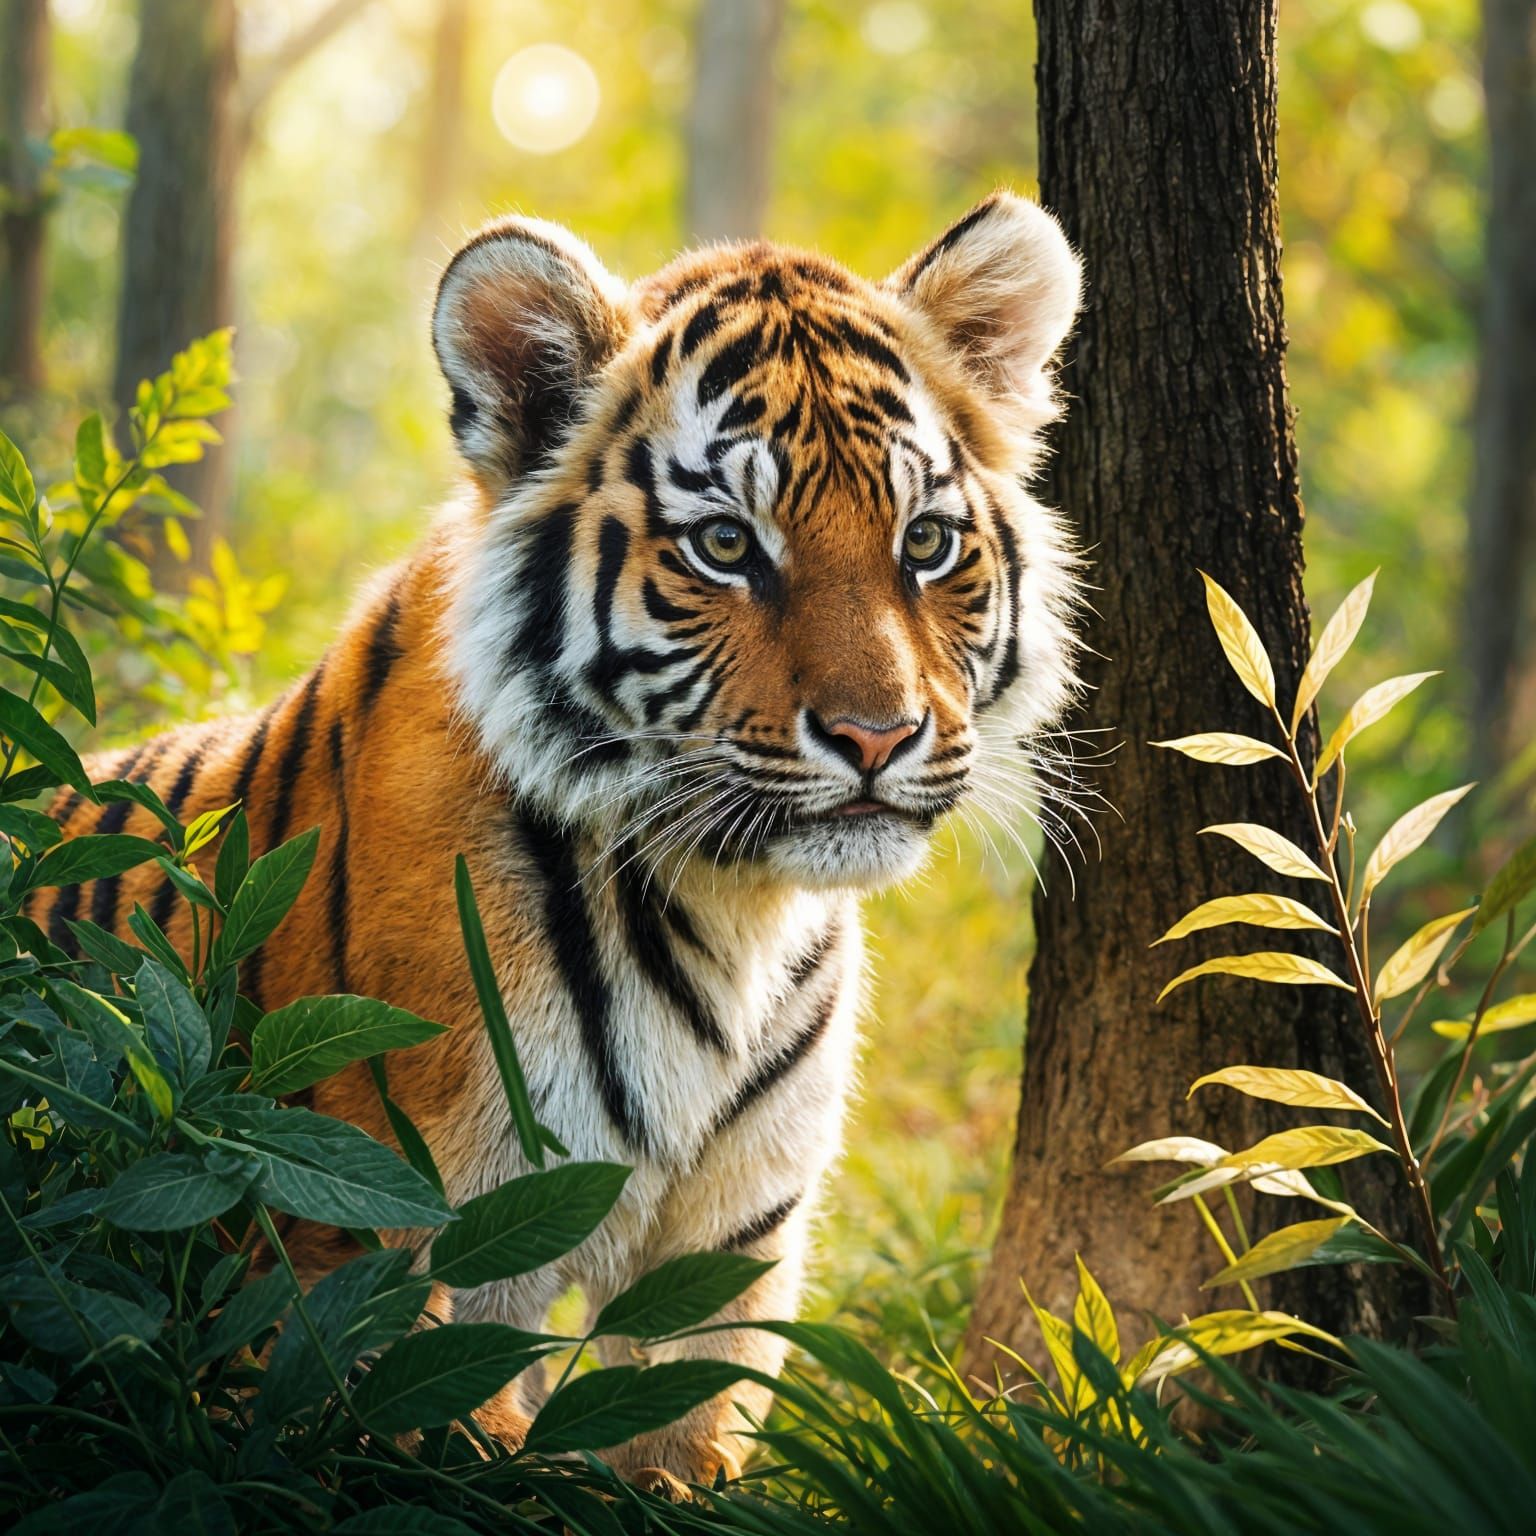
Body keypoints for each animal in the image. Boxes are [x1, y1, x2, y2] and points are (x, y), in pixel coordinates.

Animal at [29, 191, 1084, 1493]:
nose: (876, 737)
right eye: (726, 546)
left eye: (926, 541)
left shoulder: (728, 1250)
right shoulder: (387, 1250)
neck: (728, 913)